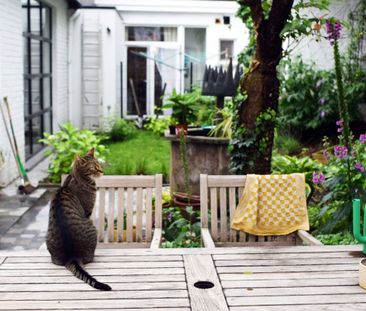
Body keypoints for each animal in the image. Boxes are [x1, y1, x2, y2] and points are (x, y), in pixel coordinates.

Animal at [45, 147, 110, 292]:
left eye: (99, 163)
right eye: (94, 167)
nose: (102, 170)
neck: (76, 177)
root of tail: (72, 255)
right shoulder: (88, 212)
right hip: (92, 227)